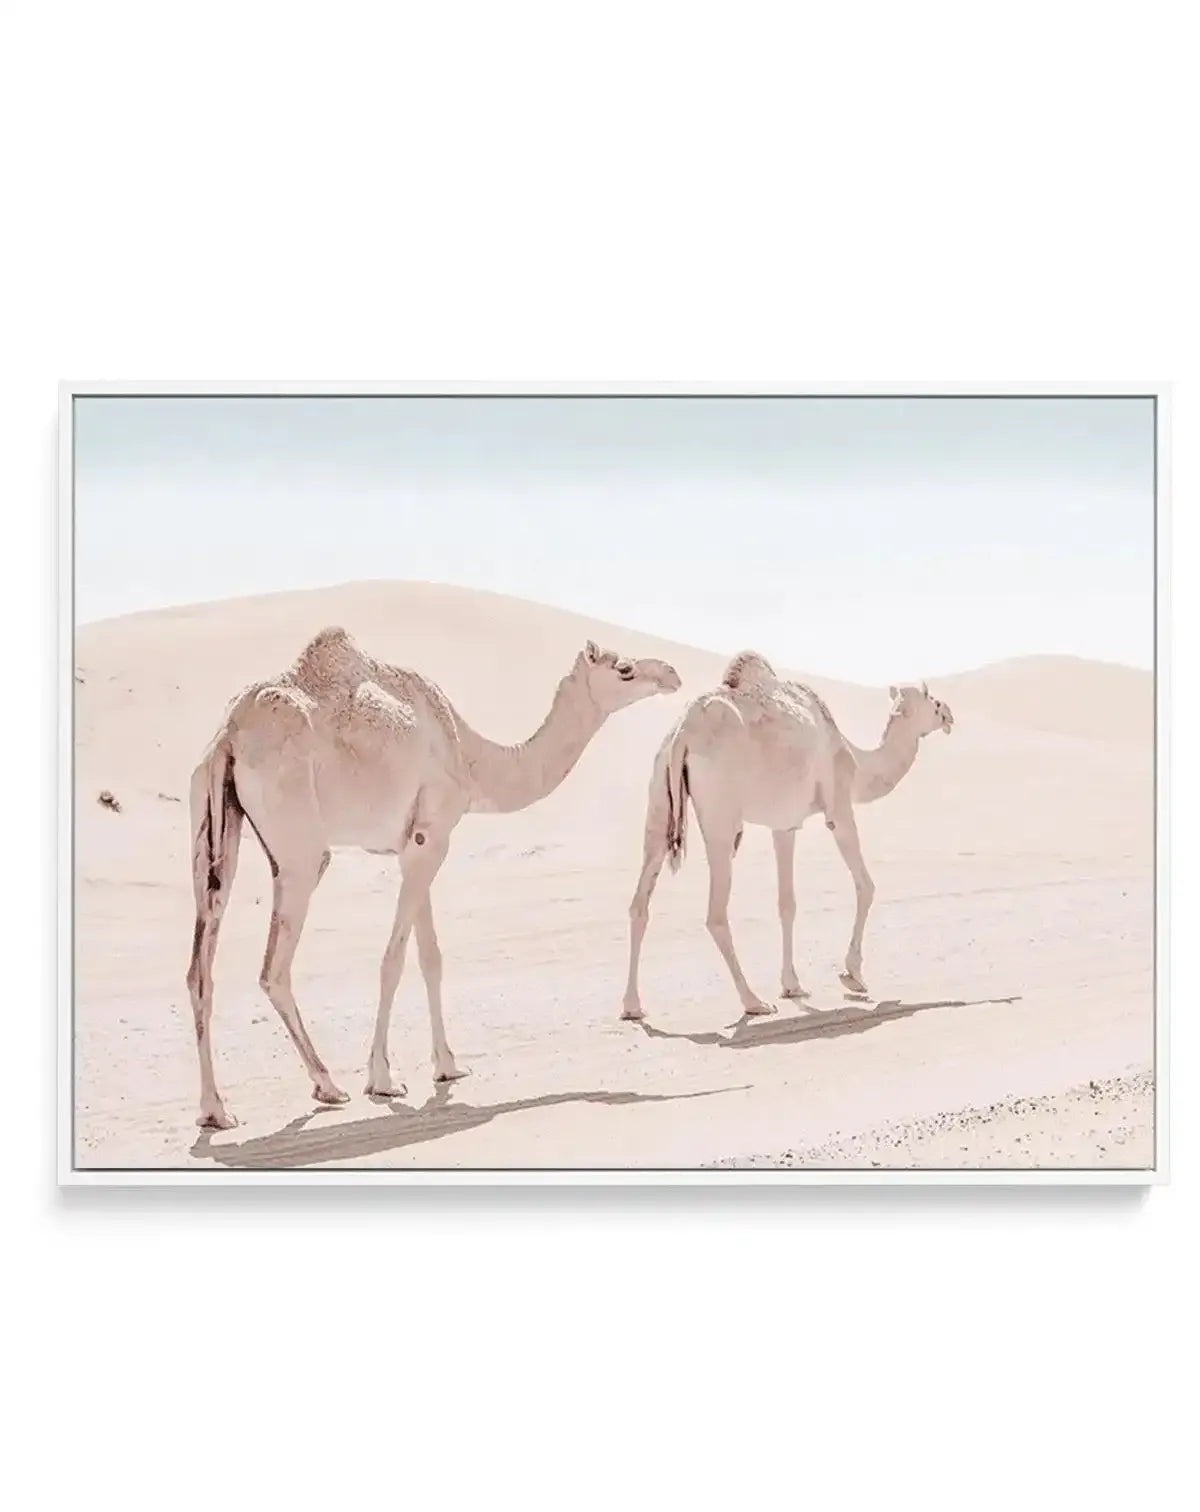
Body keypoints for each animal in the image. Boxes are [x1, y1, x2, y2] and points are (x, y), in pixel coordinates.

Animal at [186, 626, 681, 1129]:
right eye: (624, 668)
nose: (672, 673)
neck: (469, 756)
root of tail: (229, 735)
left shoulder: (417, 842)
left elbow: (430, 957)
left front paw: (447, 1066)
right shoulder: (432, 837)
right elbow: (394, 959)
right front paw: (382, 1079)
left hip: (212, 827)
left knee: (199, 969)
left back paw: (215, 1110)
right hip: (300, 848)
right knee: (274, 968)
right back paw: (327, 1085)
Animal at [621, 651, 954, 1020]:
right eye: (934, 700)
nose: (949, 714)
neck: (855, 761)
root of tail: (683, 733)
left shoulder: (784, 825)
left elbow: (787, 903)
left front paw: (792, 985)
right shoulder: (839, 807)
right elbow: (866, 885)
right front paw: (852, 975)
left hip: (658, 796)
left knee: (640, 901)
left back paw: (632, 1006)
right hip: (720, 813)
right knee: (715, 913)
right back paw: (753, 1001)